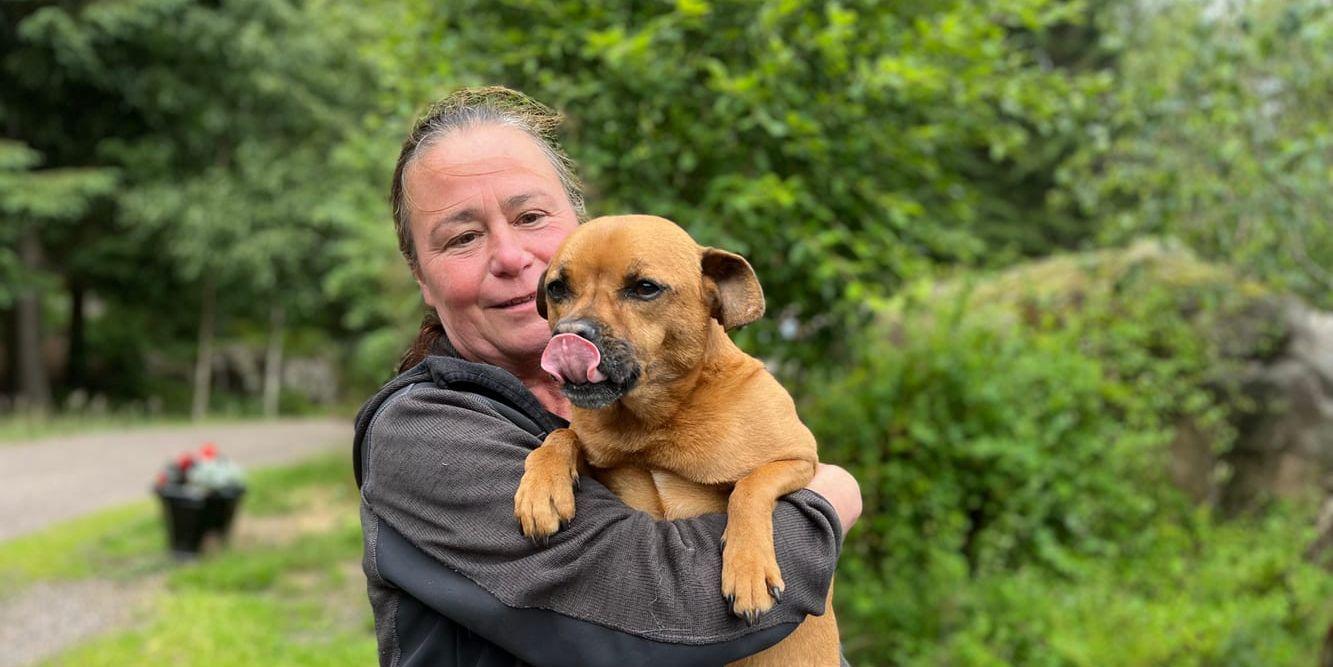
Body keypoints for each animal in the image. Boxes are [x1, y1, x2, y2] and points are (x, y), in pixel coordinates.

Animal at [514, 216, 837, 664]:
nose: (568, 335)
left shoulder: (800, 459)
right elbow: (562, 436)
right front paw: (541, 490)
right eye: (557, 288)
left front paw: (748, 568)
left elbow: (750, 488)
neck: (653, 424)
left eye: (645, 288)